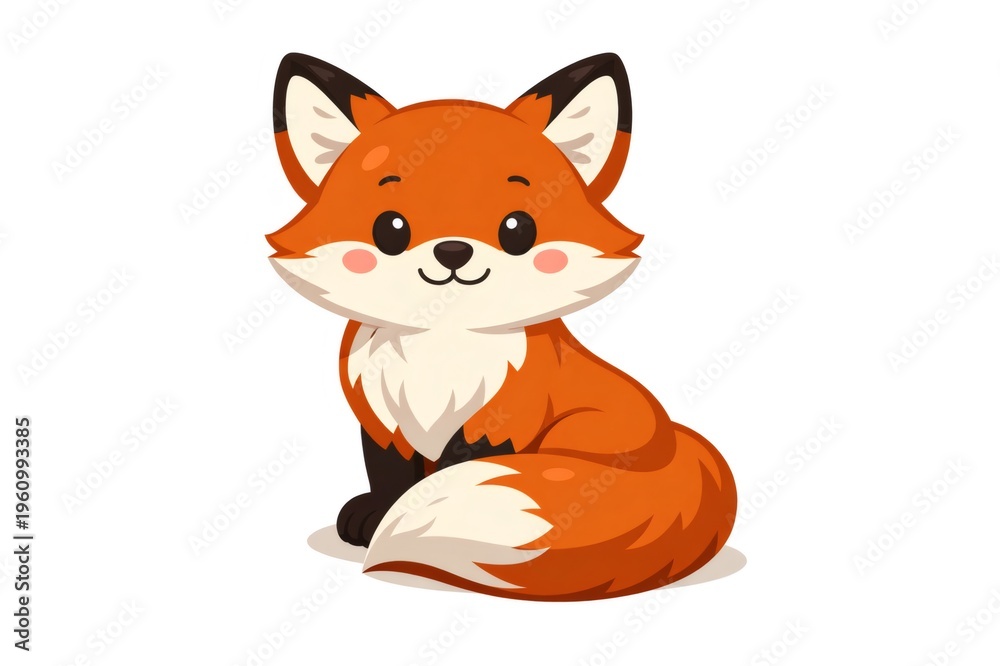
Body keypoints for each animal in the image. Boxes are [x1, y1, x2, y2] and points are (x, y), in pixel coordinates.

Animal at [266, 52, 737, 601]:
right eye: (390, 228)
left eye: (517, 228)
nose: (453, 251)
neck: (441, 353)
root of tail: (676, 441)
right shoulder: (384, 423)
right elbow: (393, 477)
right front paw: (378, 515)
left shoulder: (500, 425)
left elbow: (454, 473)